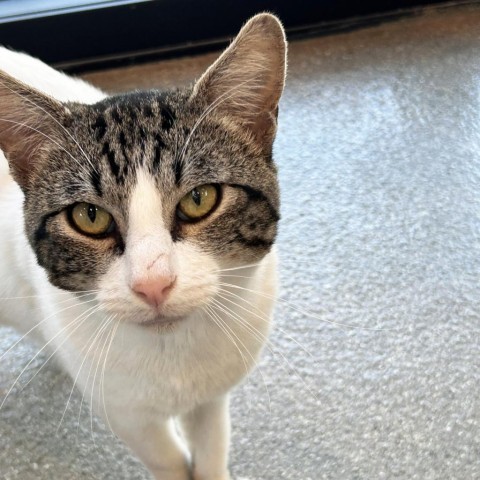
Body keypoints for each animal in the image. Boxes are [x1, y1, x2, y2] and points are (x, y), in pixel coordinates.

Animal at [0, 11, 284, 480]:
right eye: (89, 217)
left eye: (199, 198)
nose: (153, 284)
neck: (174, 357)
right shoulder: (124, 412)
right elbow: (165, 458)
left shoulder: (214, 391)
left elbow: (211, 445)